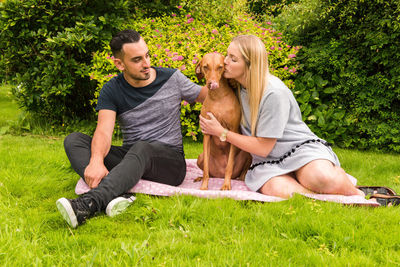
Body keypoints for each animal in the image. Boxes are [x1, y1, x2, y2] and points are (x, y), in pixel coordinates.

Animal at [195, 52, 252, 191]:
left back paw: (241, 179)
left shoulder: (233, 131)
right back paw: (200, 178)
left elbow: (229, 166)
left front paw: (226, 185)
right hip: (200, 157)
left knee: (241, 173)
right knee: (208, 171)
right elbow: (206, 169)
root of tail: (219, 175)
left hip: (247, 154)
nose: (212, 84)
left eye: (220, 67)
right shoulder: (206, 134)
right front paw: (204, 186)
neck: (218, 98)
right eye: (205, 67)